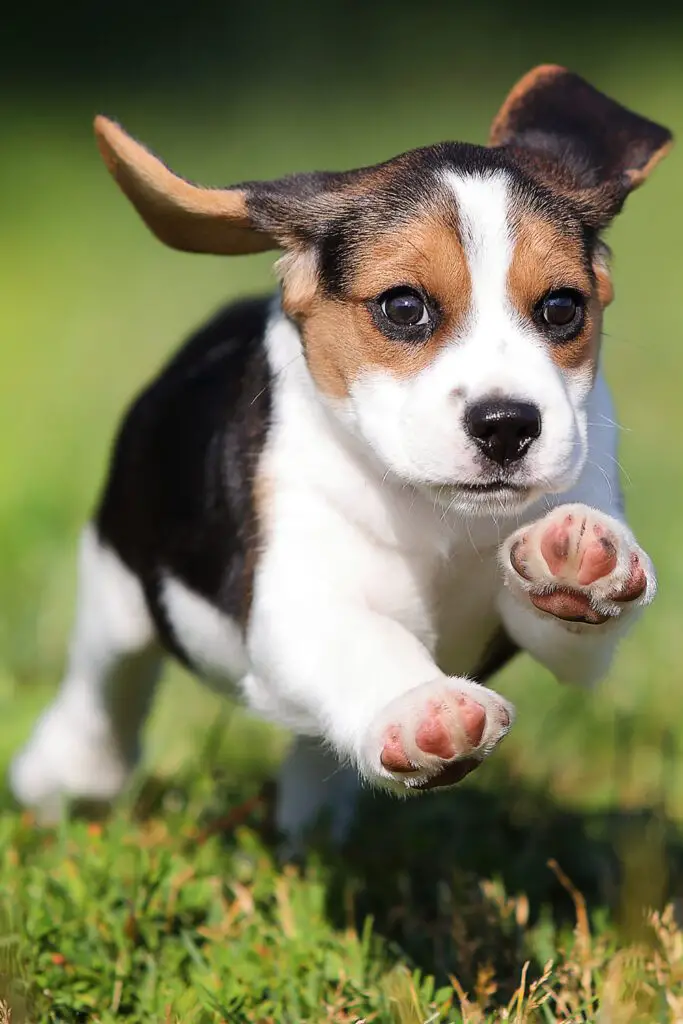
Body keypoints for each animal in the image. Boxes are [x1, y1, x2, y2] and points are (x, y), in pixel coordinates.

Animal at [10, 66, 671, 847]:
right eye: (403, 307)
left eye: (562, 308)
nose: (508, 426)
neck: (435, 514)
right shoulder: (292, 599)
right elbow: (363, 638)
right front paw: (422, 710)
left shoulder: (558, 632)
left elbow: (570, 621)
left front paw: (580, 557)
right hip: (117, 579)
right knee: (105, 683)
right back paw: (66, 773)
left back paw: (316, 818)